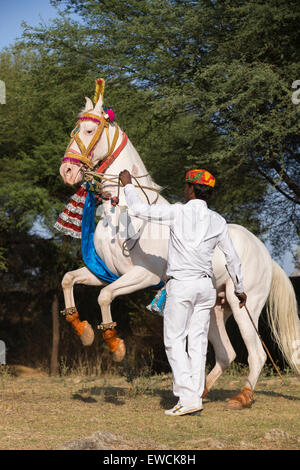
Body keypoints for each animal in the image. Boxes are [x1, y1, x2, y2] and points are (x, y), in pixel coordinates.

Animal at [58, 86, 300, 410]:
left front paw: (115, 345)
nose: (67, 171)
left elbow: (105, 296)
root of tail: (267, 256)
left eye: (88, 130)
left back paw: (242, 397)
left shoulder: (142, 275)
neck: (124, 212)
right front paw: (82, 330)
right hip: (215, 309)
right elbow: (69, 279)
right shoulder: (105, 272)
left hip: (243, 304)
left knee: (256, 353)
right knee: (227, 354)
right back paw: (199, 392)